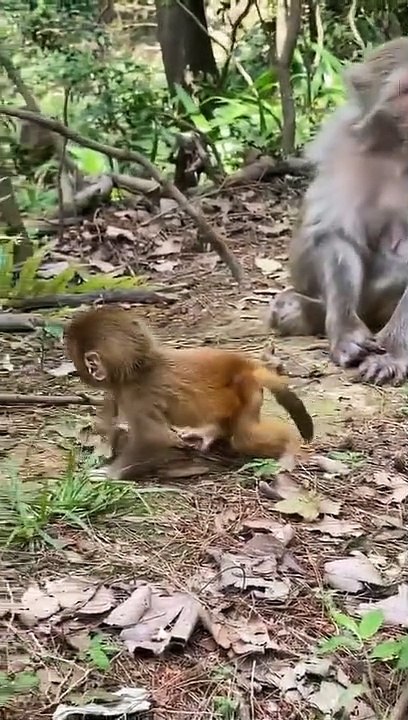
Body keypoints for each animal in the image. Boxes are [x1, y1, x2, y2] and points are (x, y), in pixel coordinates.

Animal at [64, 306, 313, 479]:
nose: (80, 373)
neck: (138, 369)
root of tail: (246, 366)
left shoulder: (136, 395)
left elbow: (153, 437)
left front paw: (111, 474)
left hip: (248, 391)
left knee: (245, 438)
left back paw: (289, 445)